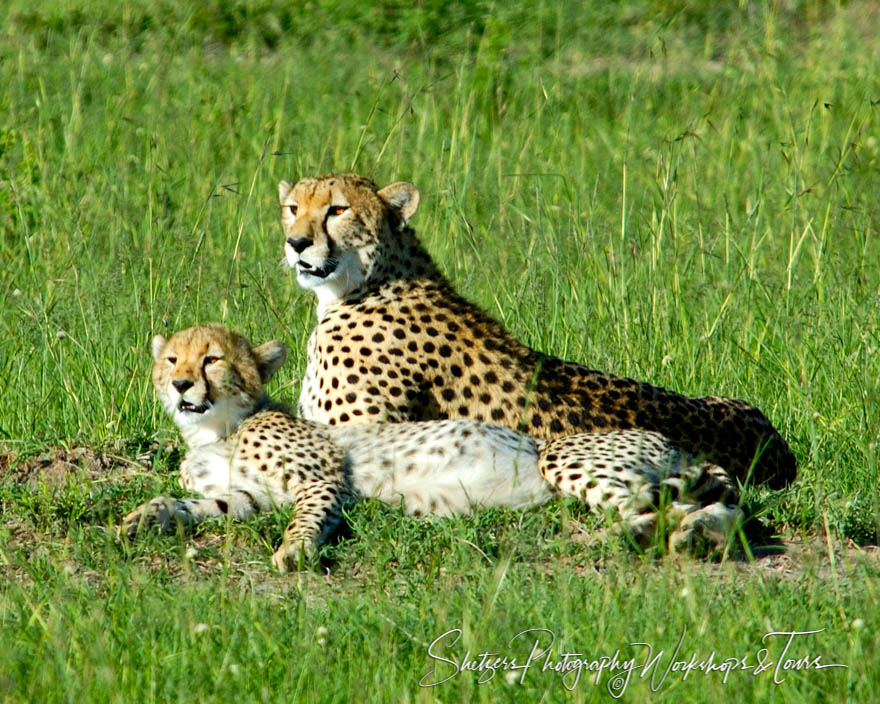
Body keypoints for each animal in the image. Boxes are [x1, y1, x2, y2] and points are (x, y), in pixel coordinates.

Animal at [122, 326, 744, 572]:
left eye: (211, 360)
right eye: (171, 359)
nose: (181, 385)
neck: (214, 432)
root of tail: (669, 439)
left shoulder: (322, 479)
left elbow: (306, 517)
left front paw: (295, 551)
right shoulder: (252, 497)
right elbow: (199, 505)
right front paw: (144, 517)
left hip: (562, 455)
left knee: (648, 501)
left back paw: (649, 536)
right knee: (706, 507)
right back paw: (694, 536)